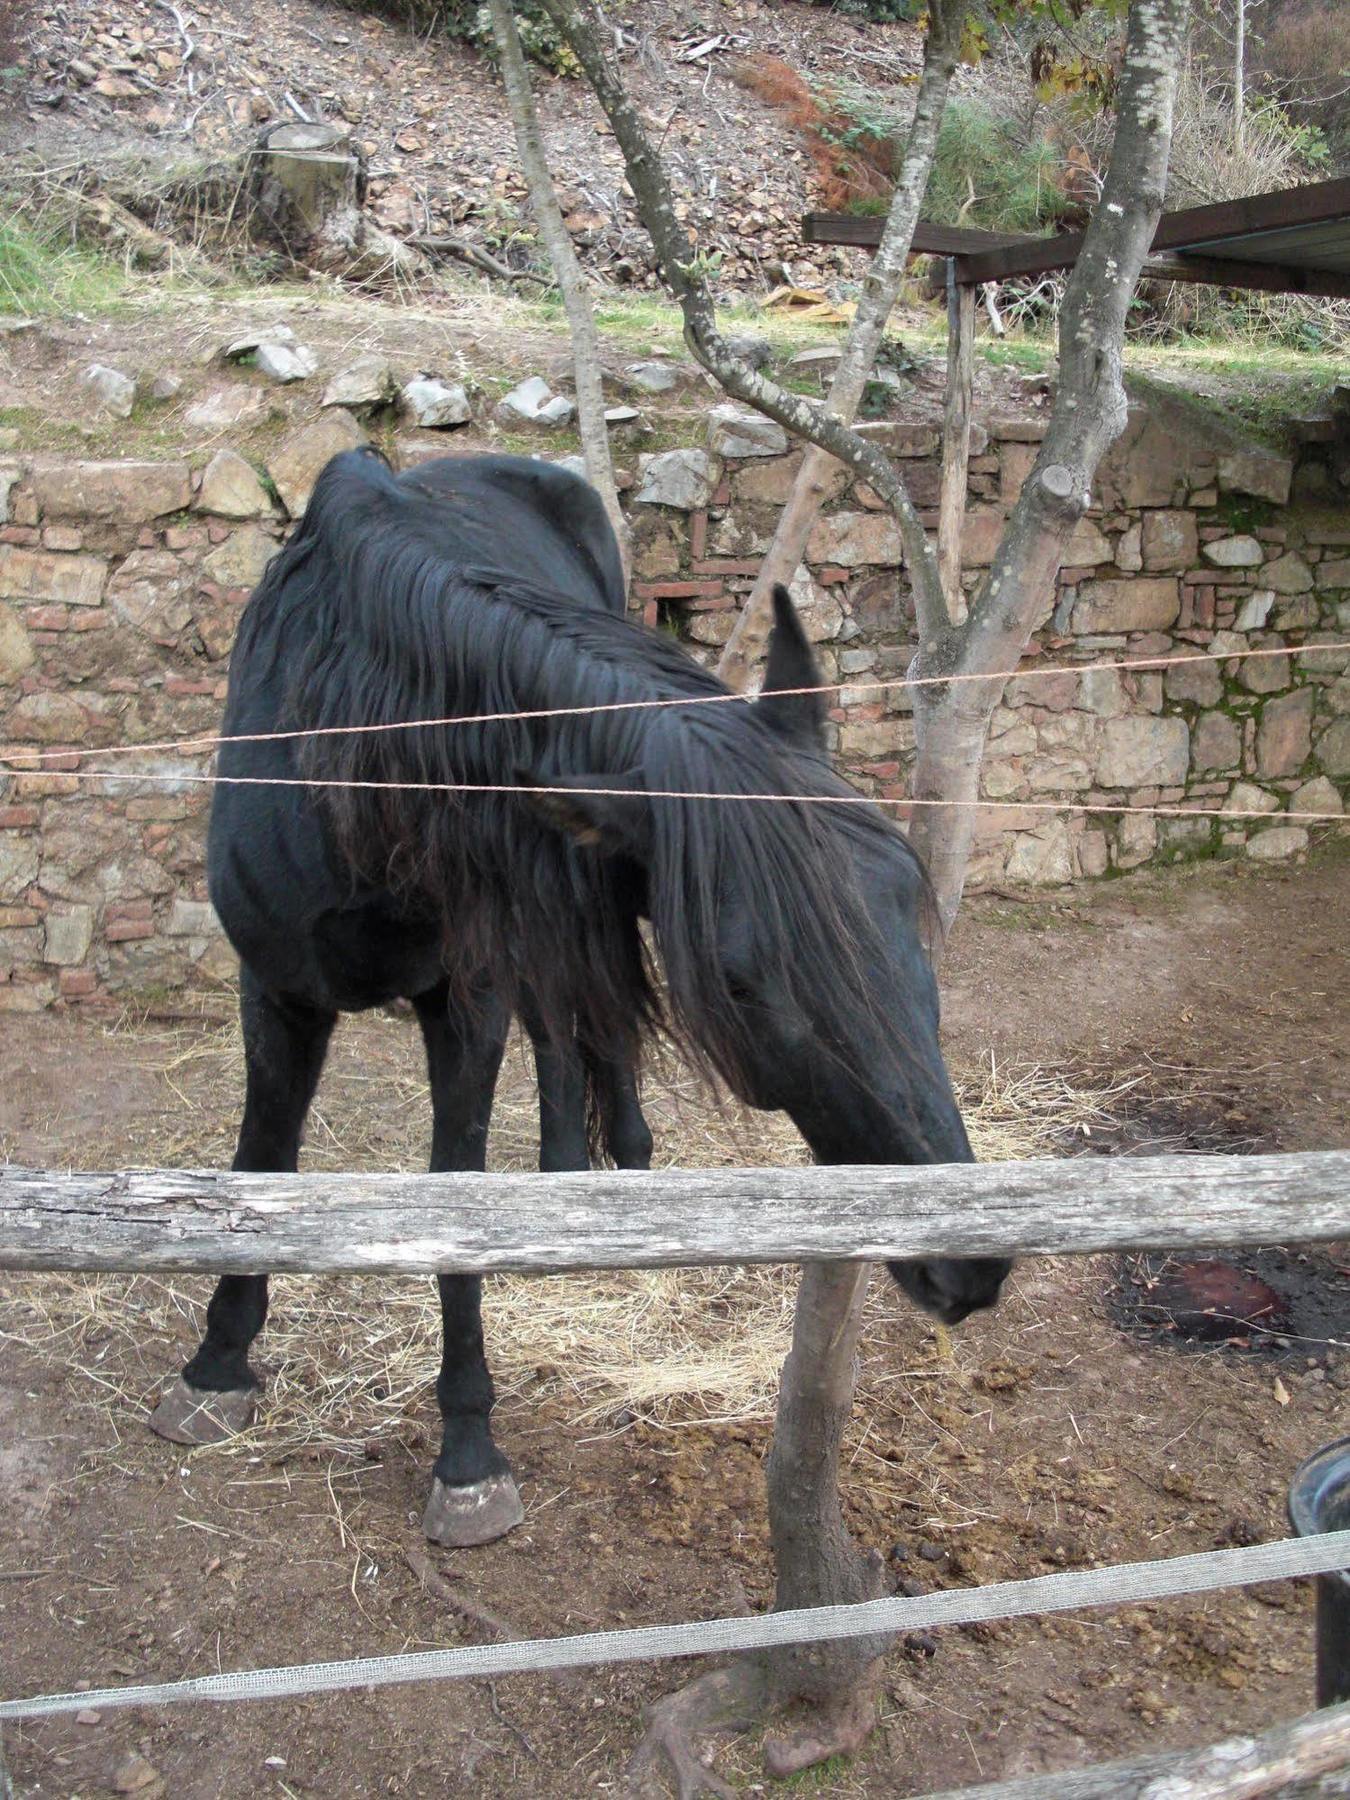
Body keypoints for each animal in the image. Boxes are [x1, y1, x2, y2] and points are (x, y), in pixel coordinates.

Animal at [153, 450, 1008, 1548]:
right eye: (742, 980)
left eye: (909, 898)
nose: (971, 1261)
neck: (348, 742)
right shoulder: (277, 987)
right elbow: (262, 1161)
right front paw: (216, 1364)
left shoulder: (465, 999)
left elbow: (457, 1189)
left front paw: (467, 1449)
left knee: (570, 1032)